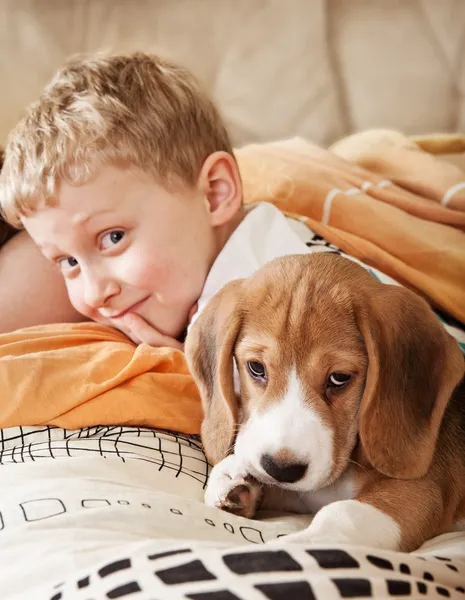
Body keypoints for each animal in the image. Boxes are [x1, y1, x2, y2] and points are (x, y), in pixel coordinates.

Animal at [185, 253, 464, 552]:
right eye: (256, 368)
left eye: (339, 378)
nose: (281, 469)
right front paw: (235, 480)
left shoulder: (422, 490)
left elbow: (344, 513)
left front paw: (294, 546)